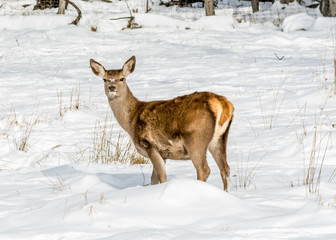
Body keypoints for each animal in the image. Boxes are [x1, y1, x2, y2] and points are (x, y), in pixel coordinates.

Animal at [90, 56, 235, 191]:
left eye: (122, 78)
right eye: (104, 79)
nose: (111, 87)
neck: (131, 120)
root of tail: (224, 104)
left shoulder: (149, 144)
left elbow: (162, 177)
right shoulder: (163, 152)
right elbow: (153, 179)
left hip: (195, 138)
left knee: (204, 170)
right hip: (219, 139)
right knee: (225, 169)